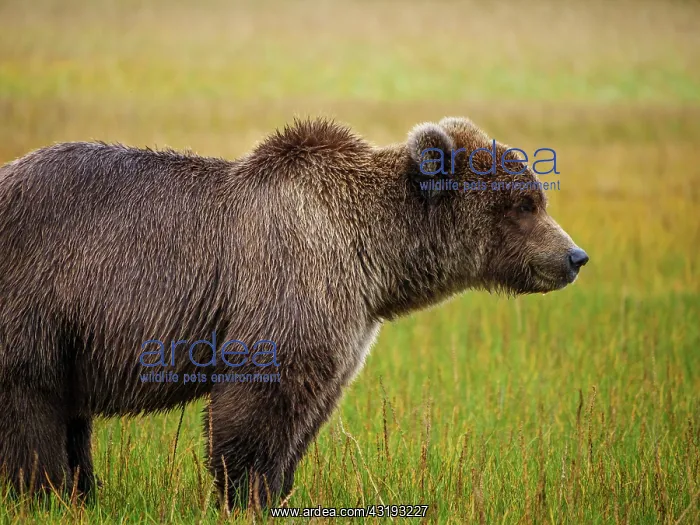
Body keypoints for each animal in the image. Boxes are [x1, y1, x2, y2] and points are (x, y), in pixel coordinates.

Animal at [0, 117, 588, 508]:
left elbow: (311, 410)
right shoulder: (292, 274)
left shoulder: (351, 323)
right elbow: (261, 397)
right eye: (524, 205)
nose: (574, 257)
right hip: (37, 296)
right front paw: (244, 493)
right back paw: (45, 494)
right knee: (30, 403)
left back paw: (83, 492)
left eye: (537, 197)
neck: (373, 254)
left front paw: (279, 488)